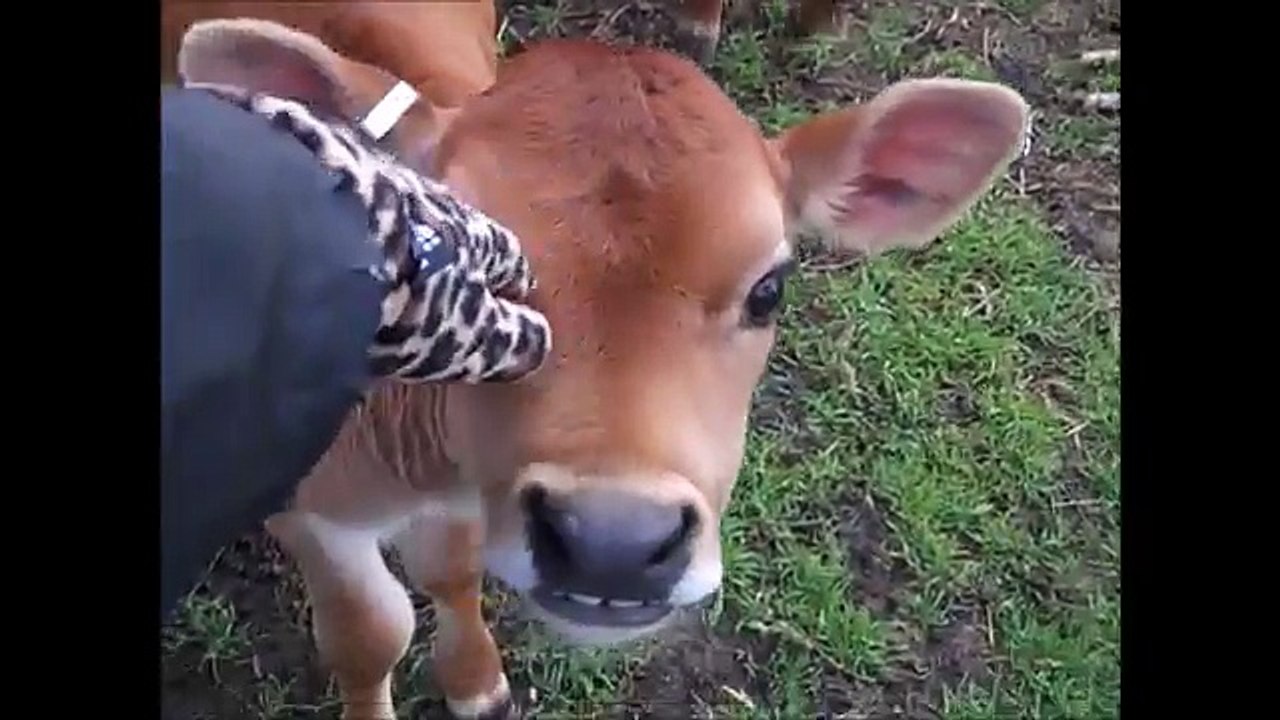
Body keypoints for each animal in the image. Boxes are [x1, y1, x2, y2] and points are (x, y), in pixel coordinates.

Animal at [160, 1, 1030, 718]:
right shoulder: (300, 503)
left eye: (769, 289)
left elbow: (452, 569)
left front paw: (477, 682)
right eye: (486, 275)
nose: (613, 544)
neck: (410, 462)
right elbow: (370, 631)